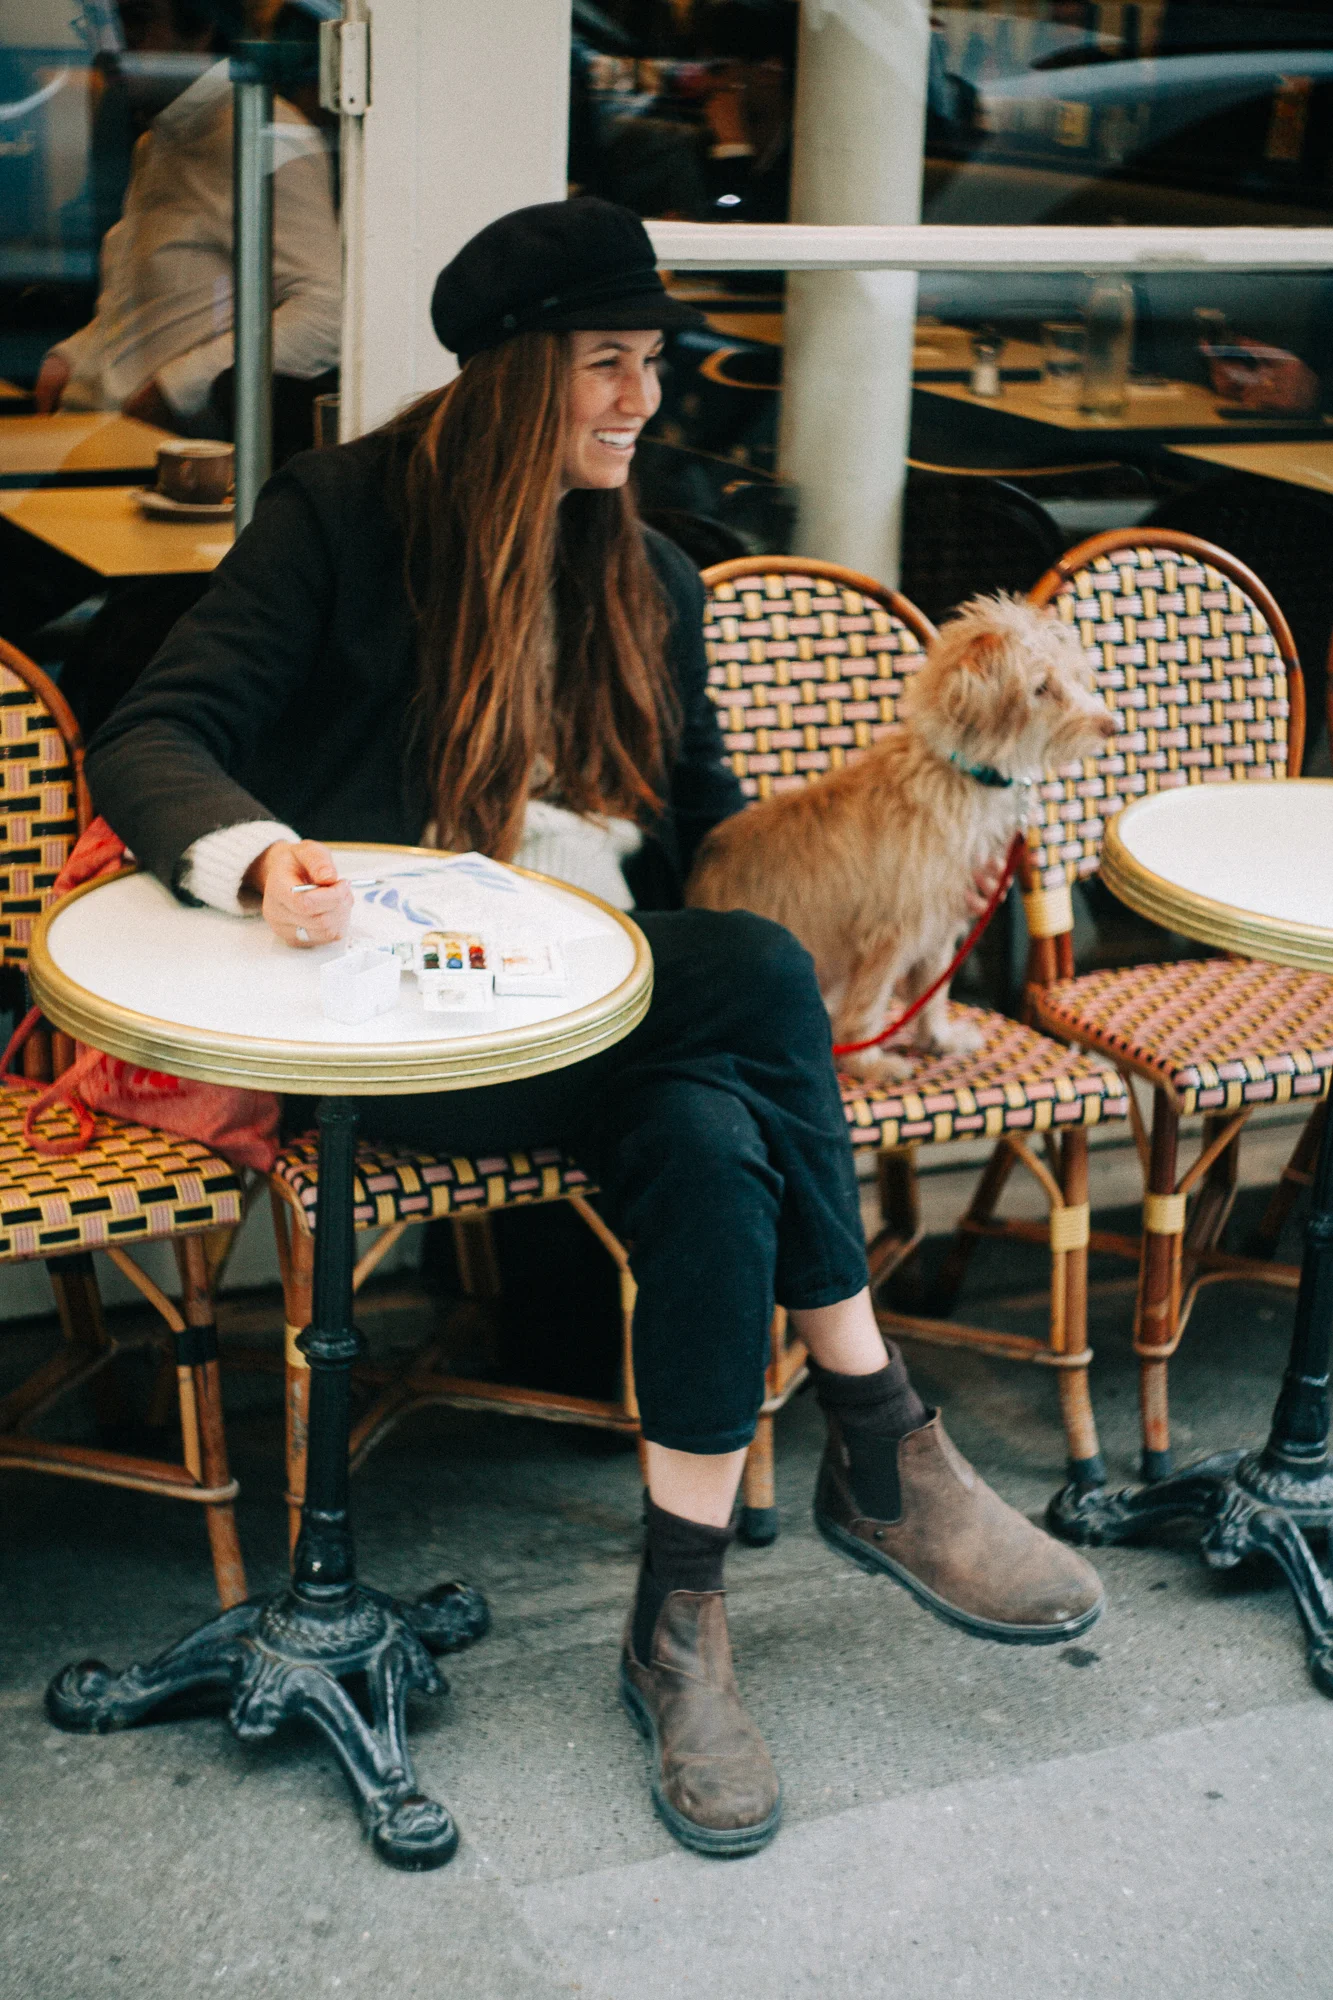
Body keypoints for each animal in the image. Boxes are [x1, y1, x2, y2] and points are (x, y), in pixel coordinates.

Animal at [684, 592, 1112, 1080]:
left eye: (1076, 677)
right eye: (1042, 688)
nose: (1111, 725)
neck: (958, 773)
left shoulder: (942, 923)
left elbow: (933, 992)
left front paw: (937, 1040)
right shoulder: (891, 933)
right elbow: (870, 1006)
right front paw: (868, 1063)